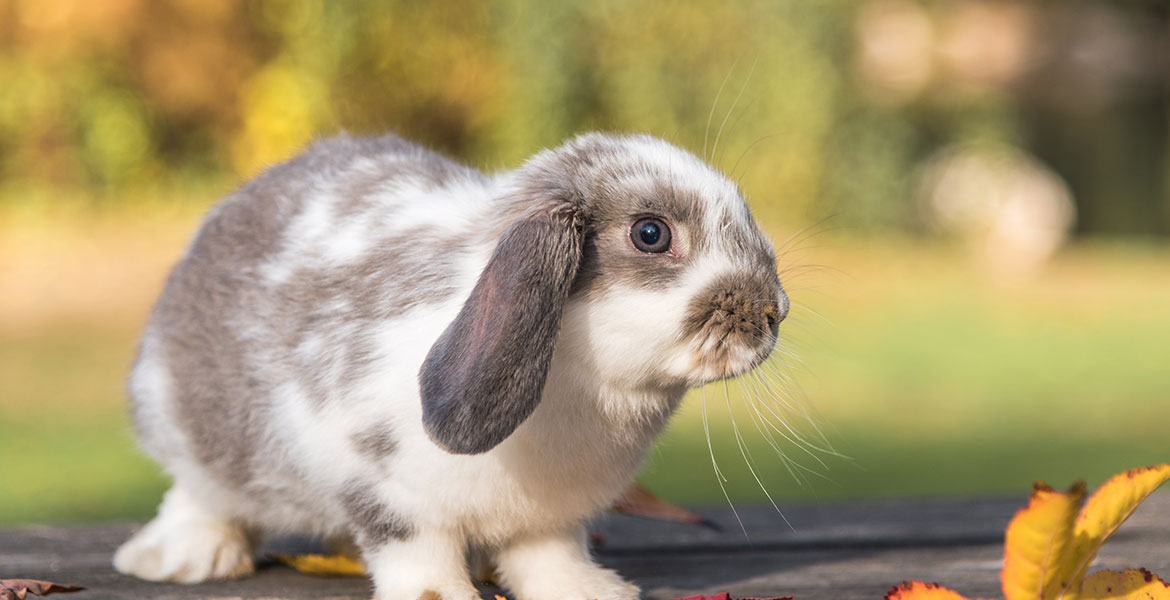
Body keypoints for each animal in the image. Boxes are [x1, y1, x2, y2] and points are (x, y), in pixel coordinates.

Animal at [114, 132, 790, 598]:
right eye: (651, 233)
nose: (775, 310)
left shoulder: (552, 518)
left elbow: (550, 558)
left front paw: (593, 592)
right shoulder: (384, 488)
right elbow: (414, 552)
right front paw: (441, 595)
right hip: (186, 425)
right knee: (197, 492)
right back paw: (185, 557)